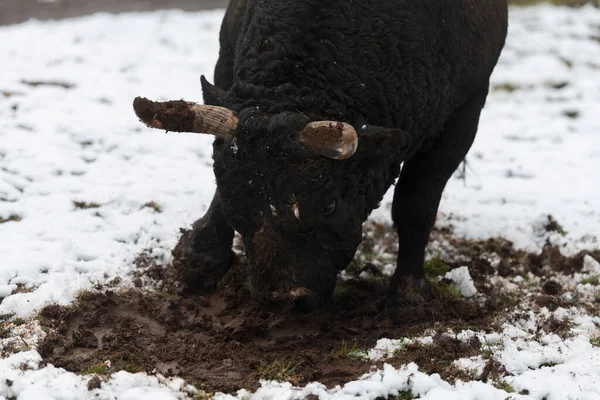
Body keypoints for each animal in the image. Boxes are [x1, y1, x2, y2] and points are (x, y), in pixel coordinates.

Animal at [136, 0, 506, 310]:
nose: (283, 295)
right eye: (235, 200)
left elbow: (415, 206)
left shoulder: (463, 113)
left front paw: (409, 292)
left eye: (329, 204)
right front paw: (199, 255)